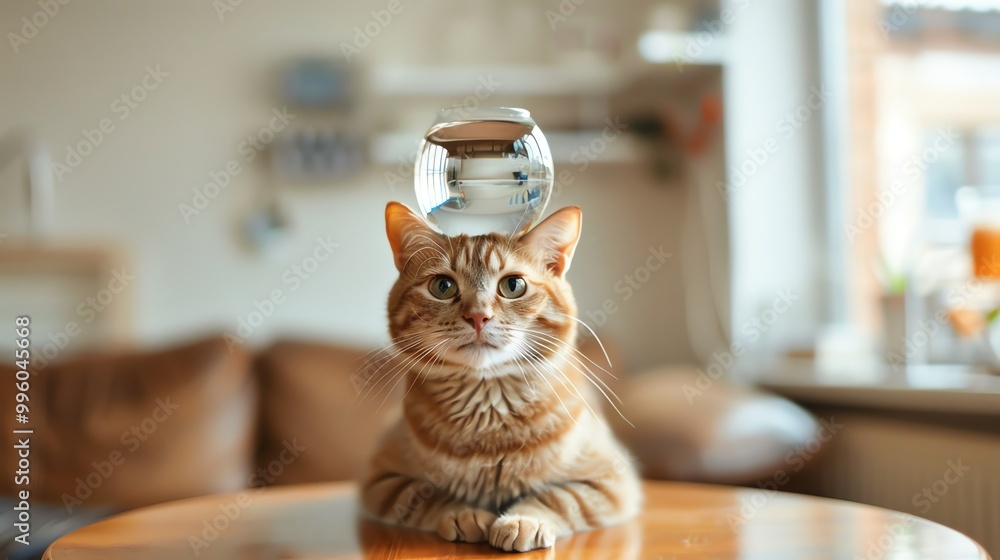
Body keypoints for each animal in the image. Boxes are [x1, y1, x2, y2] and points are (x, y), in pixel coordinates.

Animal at [362, 201, 640, 552]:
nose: (478, 316)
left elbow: (559, 497)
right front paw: (464, 514)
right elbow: (428, 497)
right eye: (442, 287)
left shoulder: (611, 479)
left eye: (513, 286)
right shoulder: (382, 481)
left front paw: (523, 520)